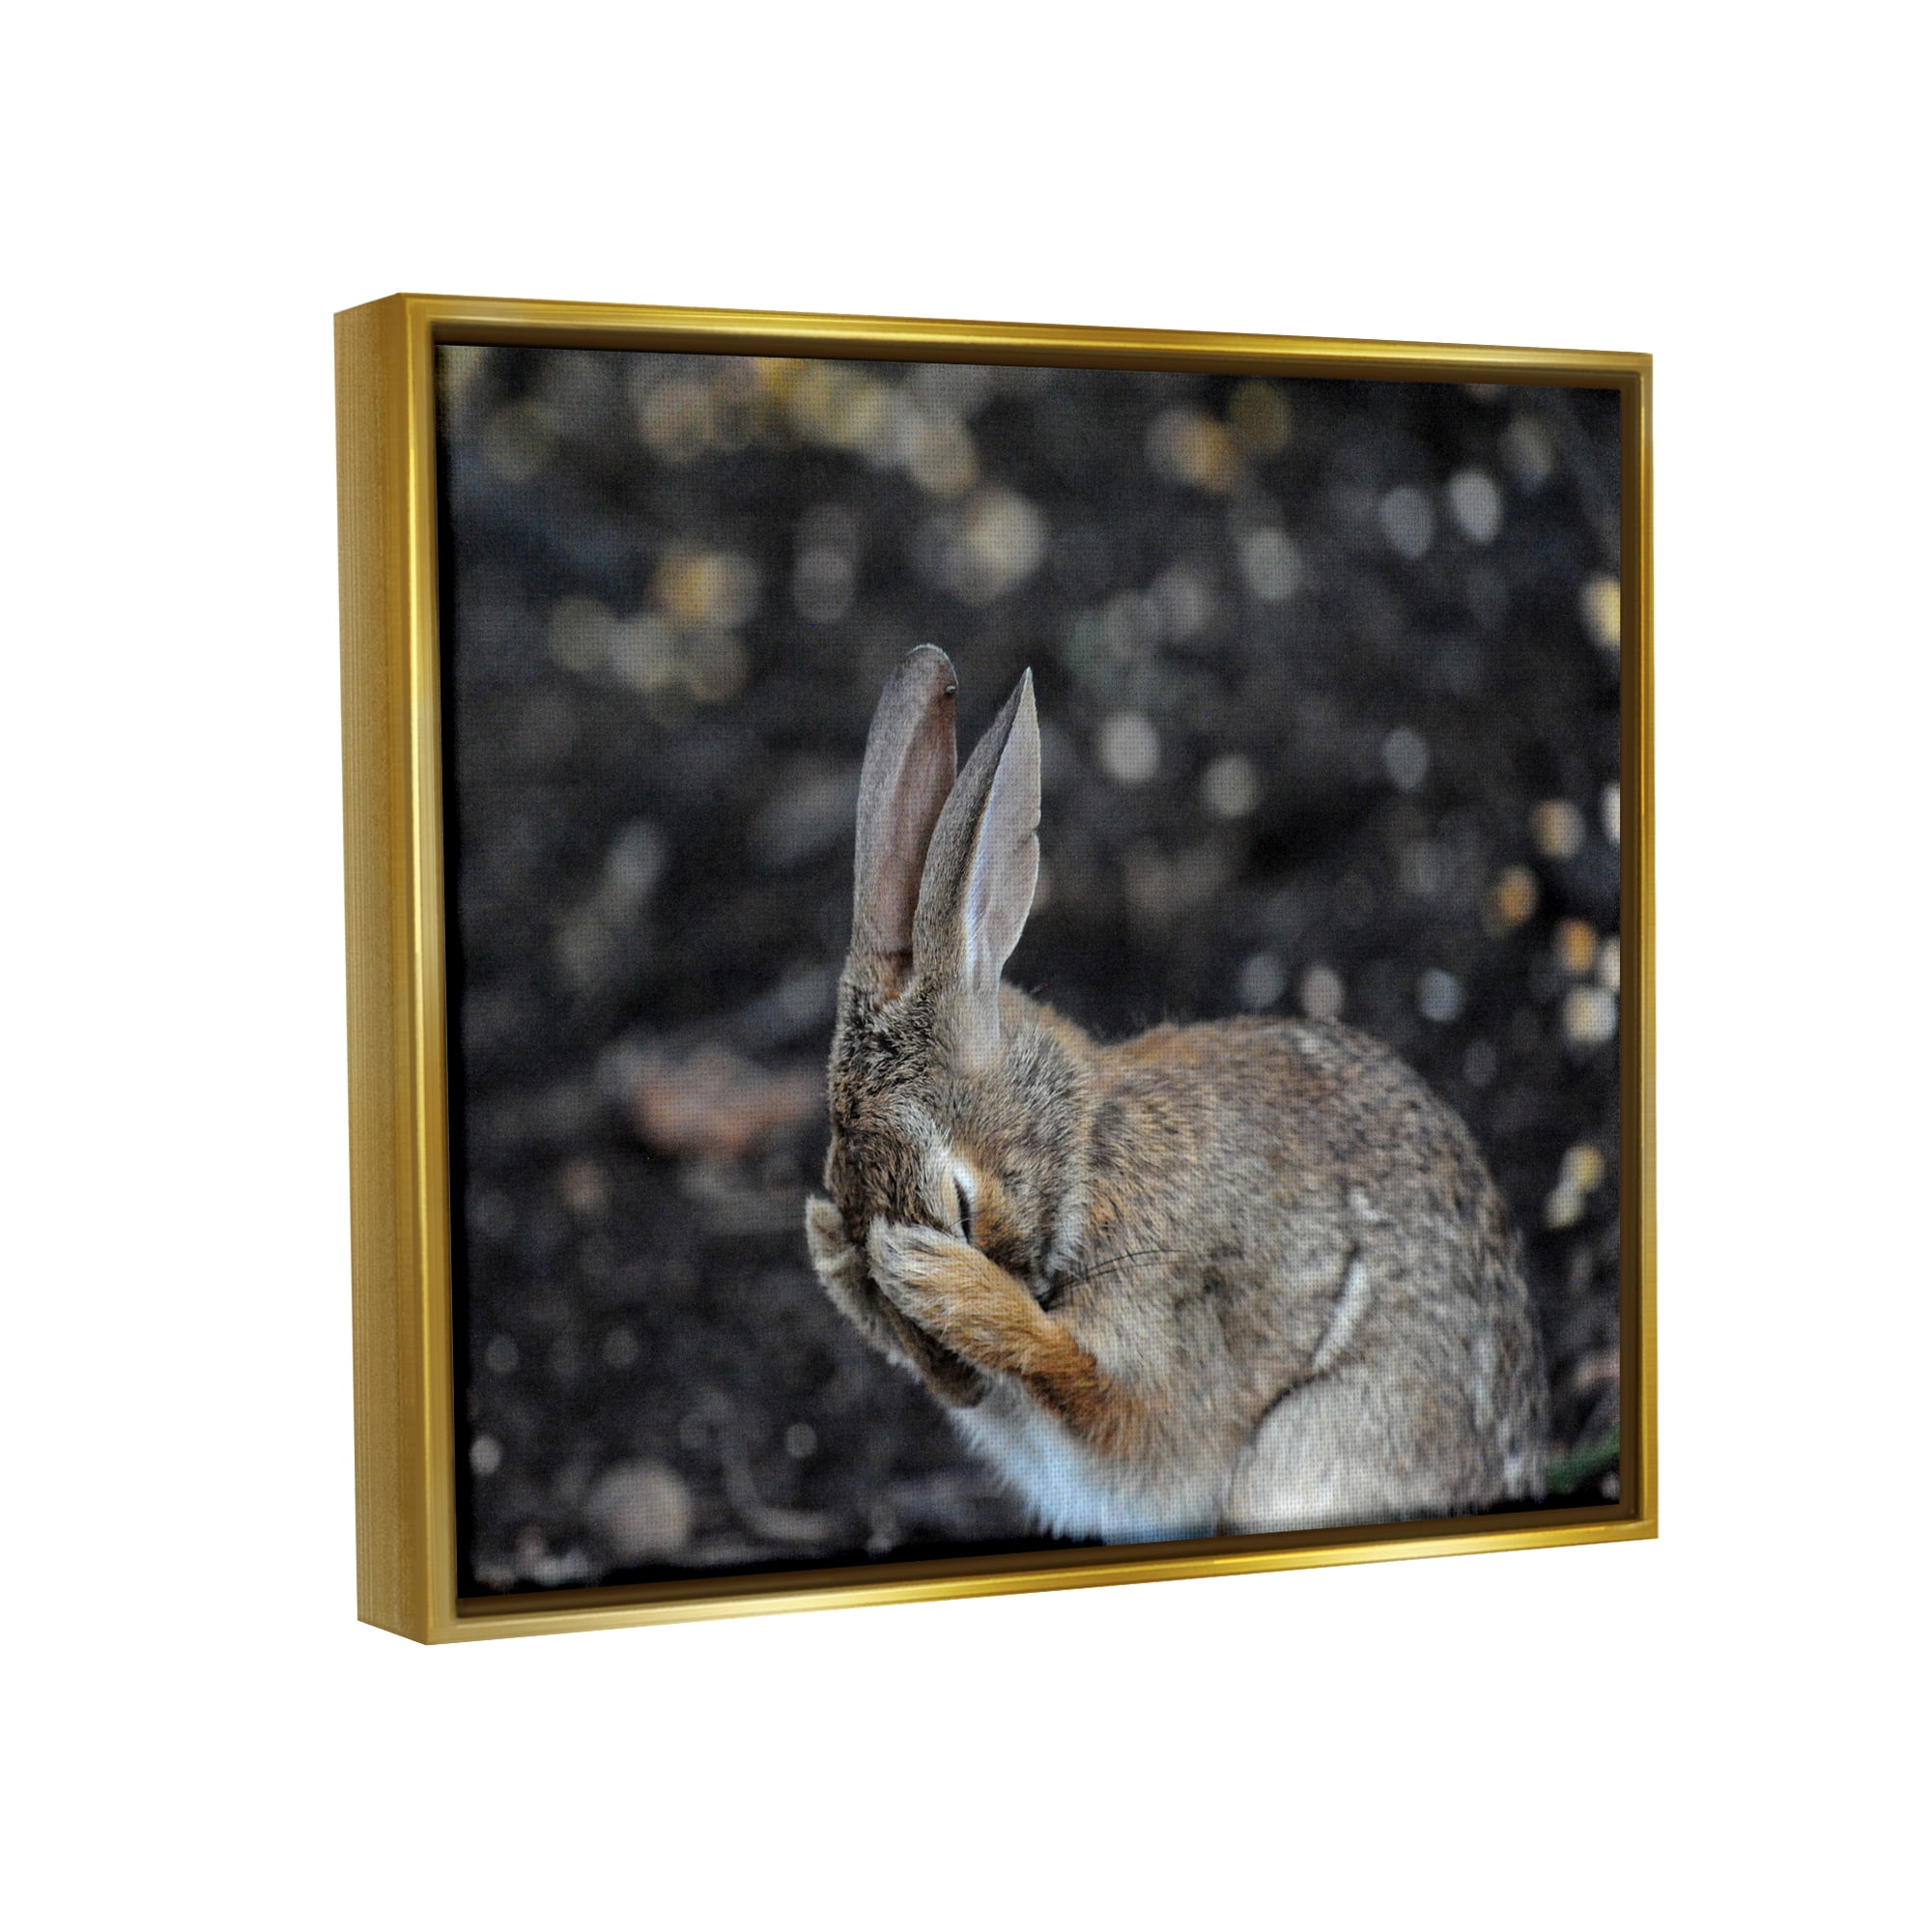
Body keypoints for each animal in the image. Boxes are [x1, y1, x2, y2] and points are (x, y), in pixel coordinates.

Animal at [804, 644, 1548, 1543]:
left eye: (962, 1207)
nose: (959, 1388)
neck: (1085, 1155)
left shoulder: (1160, 1338)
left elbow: (1104, 1393)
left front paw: (942, 1283)